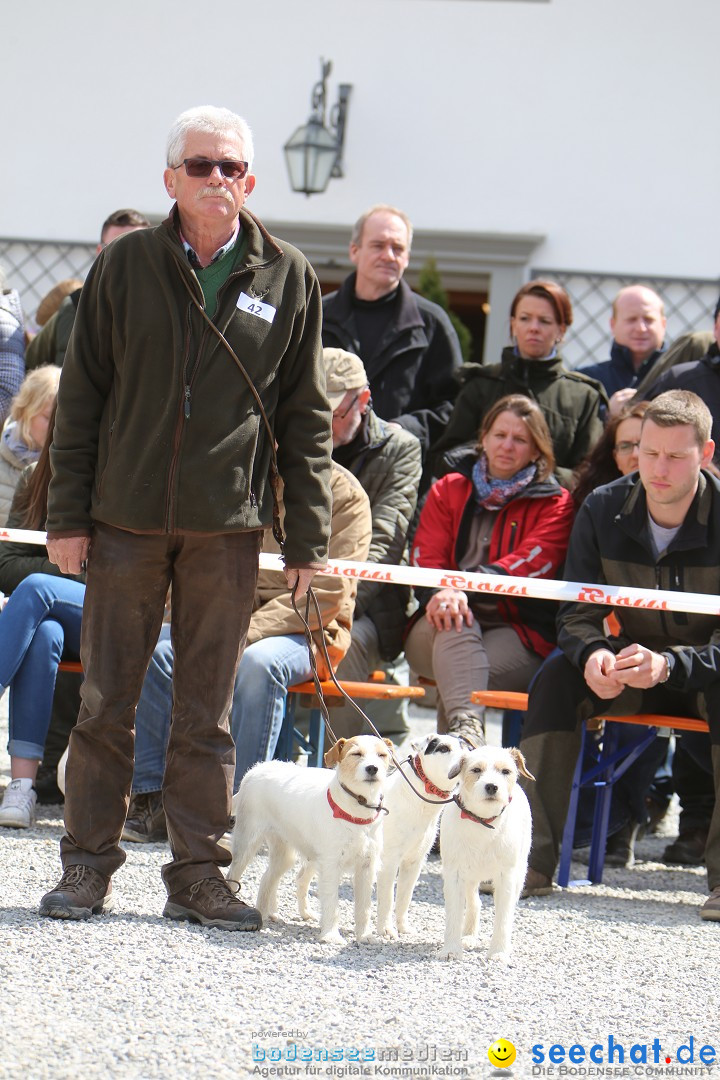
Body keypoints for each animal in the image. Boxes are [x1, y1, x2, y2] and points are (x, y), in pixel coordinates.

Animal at [227, 734, 390, 946]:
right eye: (356, 754)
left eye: (382, 755)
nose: (372, 768)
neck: (356, 810)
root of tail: (254, 771)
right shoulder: (331, 866)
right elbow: (331, 902)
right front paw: (331, 935)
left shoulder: (366, 867)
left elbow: (364, 907)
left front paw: (364, 935)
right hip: (246, 844)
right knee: (233, 875)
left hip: (284, 854)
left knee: (267, 878)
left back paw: (266, 912)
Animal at [375, 734, 464, 937]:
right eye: (444, 748)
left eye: (466, 748)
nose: (464, 759)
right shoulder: (389, 861)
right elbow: (387, 898)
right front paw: (386, 930)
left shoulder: (414, 862)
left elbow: (404, 898)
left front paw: (403, 927)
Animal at [440, 743, 535, 963]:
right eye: (476, 770)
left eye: (505, 771)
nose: (492, 786)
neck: (482, 821)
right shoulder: (454, 875)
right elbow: (454, 914)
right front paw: (451, 948)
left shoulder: (506, 878)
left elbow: (503, 917)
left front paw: (499, 951)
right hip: (469, 878)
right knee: (475, 903)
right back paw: (468, 936)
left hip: (519, 874)